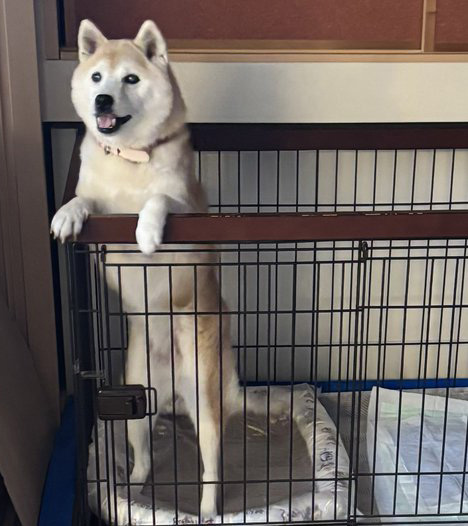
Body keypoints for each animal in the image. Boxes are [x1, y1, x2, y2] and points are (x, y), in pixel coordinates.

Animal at [51, 19, 289, 520]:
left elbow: (160, 200)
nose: (103, 100)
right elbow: (84, 201)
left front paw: (145, 228)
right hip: (135, 404)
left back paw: (208, 508)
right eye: (97, 77)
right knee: (141, 454)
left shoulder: (187, 225)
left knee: (211, 467)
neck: (129, 161)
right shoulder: (100, 230)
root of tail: (175, 388)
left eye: (131, 79)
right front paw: (67, 214)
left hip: (207, 404)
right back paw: (132, 489)